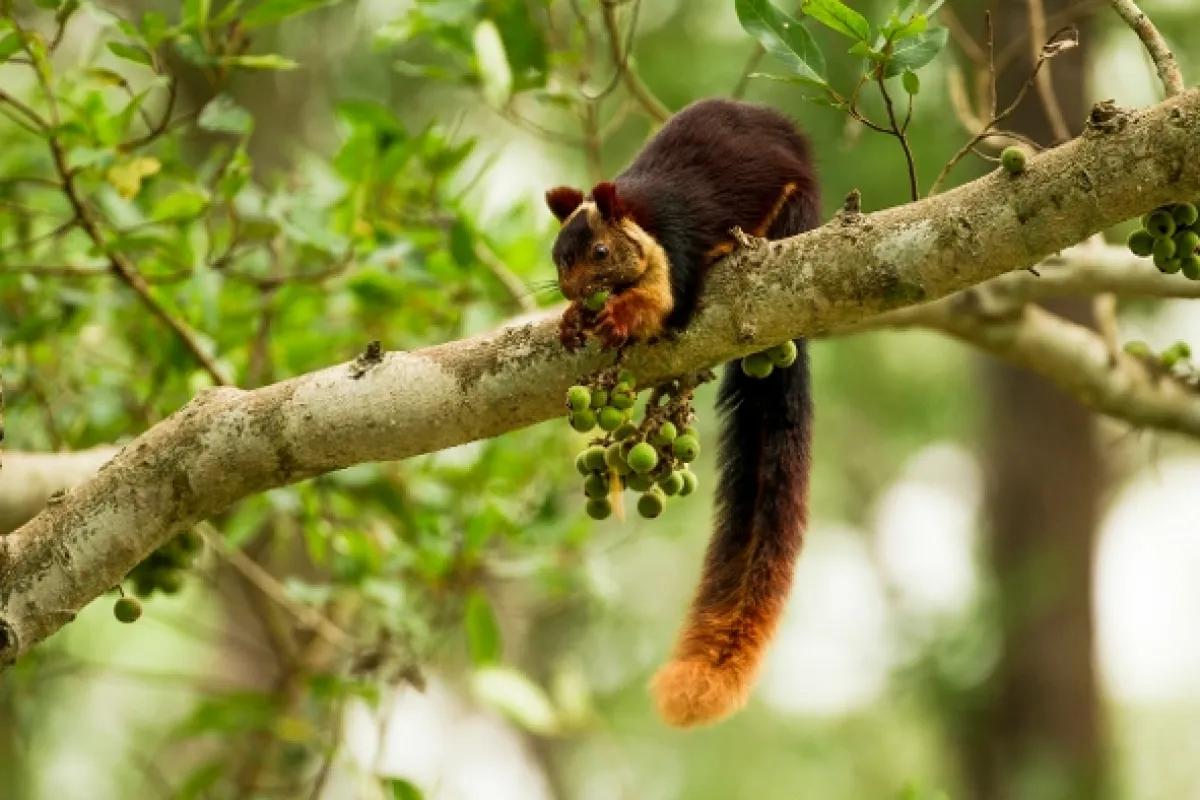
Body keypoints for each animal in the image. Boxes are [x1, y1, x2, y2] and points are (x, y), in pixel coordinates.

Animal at [544, 97, 820, 728]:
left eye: (600, 253)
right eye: (557, 258)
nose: (575, 294)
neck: (640, 217)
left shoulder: (677, 248)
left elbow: (664, 306)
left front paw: (619, 315)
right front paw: (571, 320)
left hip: (797, 210)